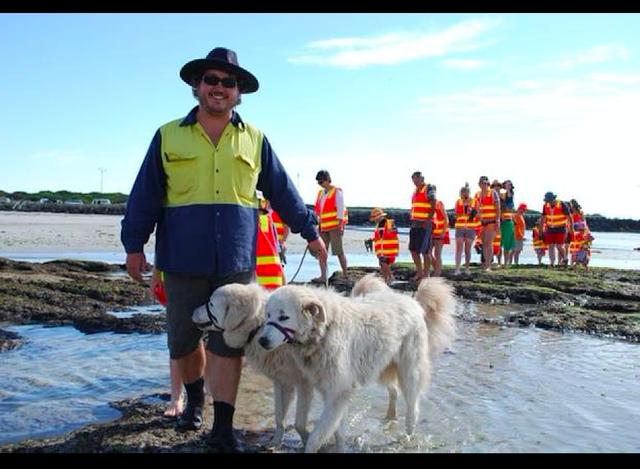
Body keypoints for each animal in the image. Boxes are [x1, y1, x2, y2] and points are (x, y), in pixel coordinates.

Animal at [190, 284, 316, 448]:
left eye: (211, 304)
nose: (192, 311)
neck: (258, 325)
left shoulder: (305, 382)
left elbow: (299, 423)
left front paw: (310, 442)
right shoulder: (282, 382)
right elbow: (279, 417)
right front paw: (275, 442)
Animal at [258, 276, 456, 452]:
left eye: (284, 317)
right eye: (267, 315)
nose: (261, 341)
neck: (325, 330)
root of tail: (413, 301)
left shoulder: (337, 392)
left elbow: (317, 436)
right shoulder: (333, 391)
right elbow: (336, 431)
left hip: (409, 373)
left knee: (412, 410)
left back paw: (407, 438)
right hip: (382, 366)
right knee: (393, 391)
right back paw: (390, 417)